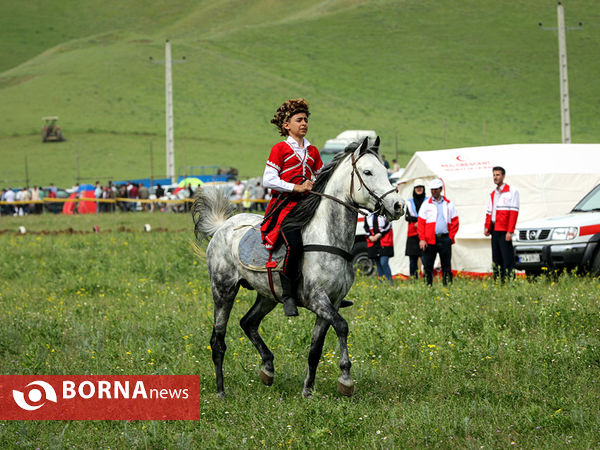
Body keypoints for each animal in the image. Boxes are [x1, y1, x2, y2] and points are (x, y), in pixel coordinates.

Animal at [195, 137, 406, 398]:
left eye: (386, 172)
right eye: (368, 172)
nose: (398, 206)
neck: (329, 237)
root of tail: (222, 226)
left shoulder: (332, 302)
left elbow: (316, 349)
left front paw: (308, 390)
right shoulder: (317, 299)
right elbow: (342, 326)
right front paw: (345, 379)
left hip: (268, 295)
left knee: (248, 322)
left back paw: (268, 368)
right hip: (223, 290)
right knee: (218, 340)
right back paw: (221, 390)